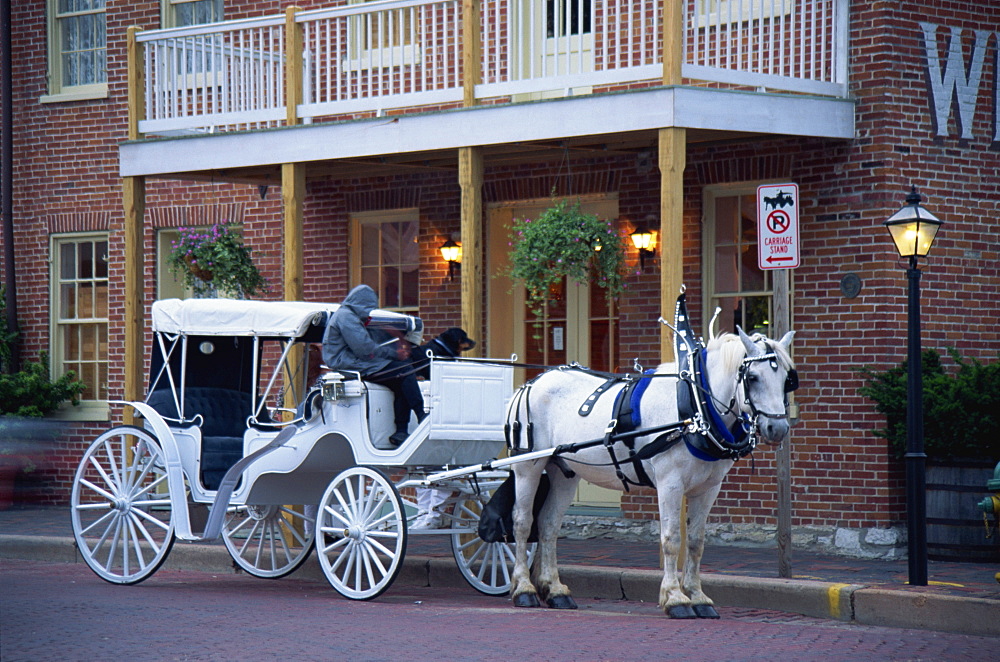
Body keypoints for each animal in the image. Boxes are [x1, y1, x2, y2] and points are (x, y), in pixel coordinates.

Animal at [508, 330, 796, 620]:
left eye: (787, 379)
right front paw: (675, 598)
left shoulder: (708, 488)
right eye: (752, 377)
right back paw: (524, 588)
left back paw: (555, 590)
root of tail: (531, 383)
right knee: (522, 522)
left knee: (548, 524)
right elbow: (671, 539)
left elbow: (696, 542)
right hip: (528, 467)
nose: (778, 428)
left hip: (564, 473)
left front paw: (698, 596)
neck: (695, 407)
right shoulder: (670, 483)